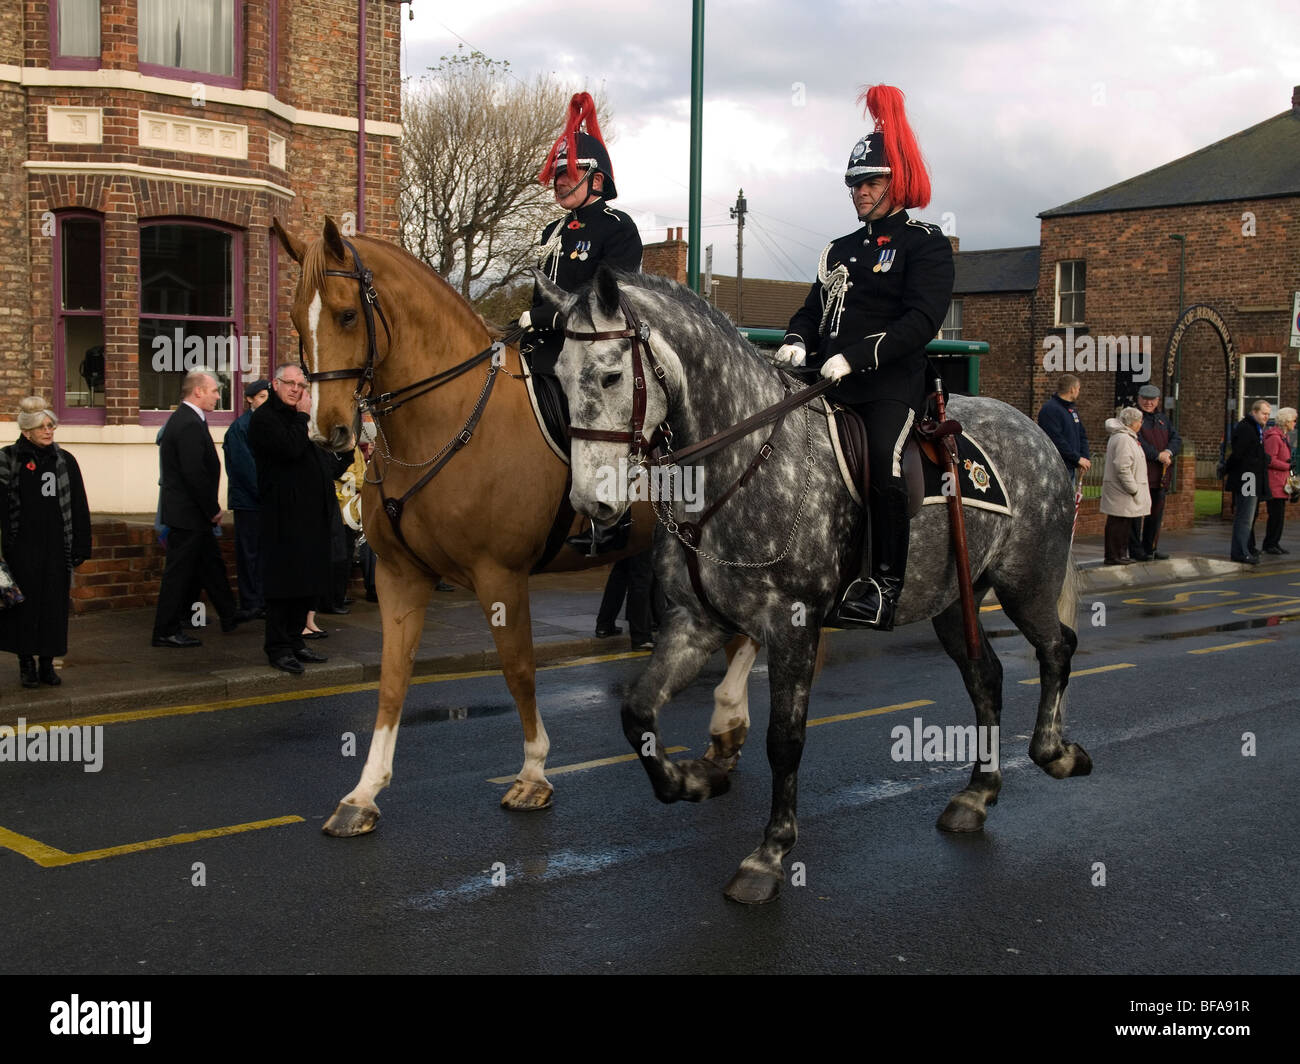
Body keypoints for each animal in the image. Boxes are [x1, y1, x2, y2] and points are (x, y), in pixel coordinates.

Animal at [274, 215, 759, 827]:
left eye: (345, 314)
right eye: (295, 317)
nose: (329, 430)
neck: (447, 419)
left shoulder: (499, 574)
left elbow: (519, 670)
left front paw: (532, 774)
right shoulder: (398, 574)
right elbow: (391, 680)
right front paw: (364, 793)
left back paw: (728, 720)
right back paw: (727, 734)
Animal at [533, 267, 1092, 905]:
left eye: (611, 373)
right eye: (559, 377)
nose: (592, 504)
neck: (741, 464)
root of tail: (1036, 432)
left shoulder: (792, 628)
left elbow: (784, 739)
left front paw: (769, 854)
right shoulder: (694, 624)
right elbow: (637, 712)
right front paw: (695, 779)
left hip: (1027, 582)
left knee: (1058, 649)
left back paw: (1054, 752)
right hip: (956, 601)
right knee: (986, 678)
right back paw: (978, 792)